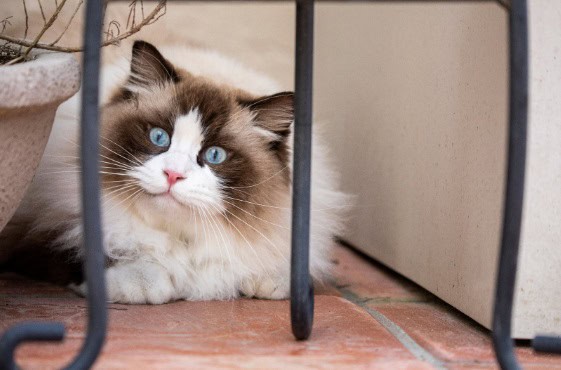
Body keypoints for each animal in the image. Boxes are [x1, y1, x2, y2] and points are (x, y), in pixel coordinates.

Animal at [0, 42, 348, 304]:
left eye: (215, 155)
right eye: (159, 138)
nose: (173, 175)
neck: (182, 240)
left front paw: (267, 279)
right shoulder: (42, 235)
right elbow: (100, 256)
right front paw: (142, 283)